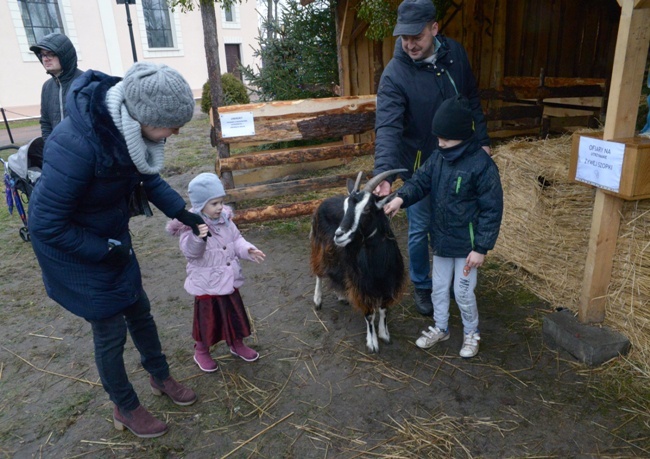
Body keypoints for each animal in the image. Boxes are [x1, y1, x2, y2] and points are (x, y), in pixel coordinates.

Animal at [308, 171, 404, 354]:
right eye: (345, 207)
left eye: (367, 208)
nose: (339, 234)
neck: (377, 265)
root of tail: (324, 201)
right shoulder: (363, 284)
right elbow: (370, 314)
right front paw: (372, 343)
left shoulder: (388, 282)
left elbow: (383, 309)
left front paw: (384, 334)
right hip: (320, 245)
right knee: (319, 273)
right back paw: (317, 300)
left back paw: (341, 295)